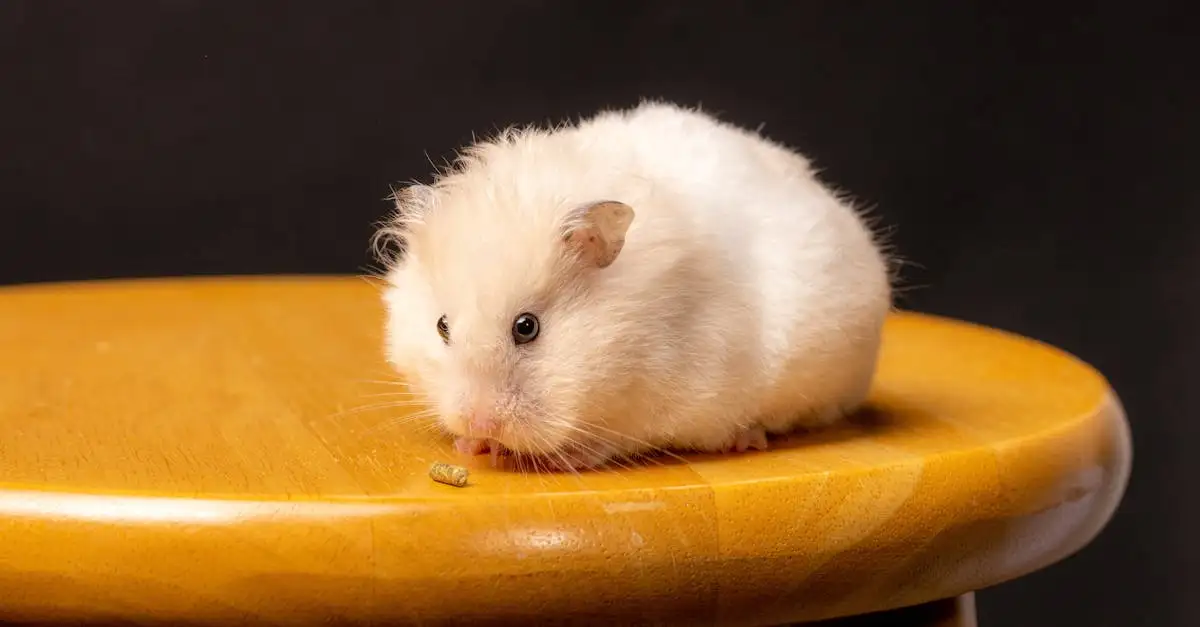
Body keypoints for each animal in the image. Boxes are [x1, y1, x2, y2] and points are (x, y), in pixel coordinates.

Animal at [375, 101, 892, 471]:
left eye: (527, 327)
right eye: (442, 326)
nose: (478, 420)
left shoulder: (662, 407)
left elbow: (611, 441)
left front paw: (559, 457)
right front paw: (473, 445)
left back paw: (748, 439)